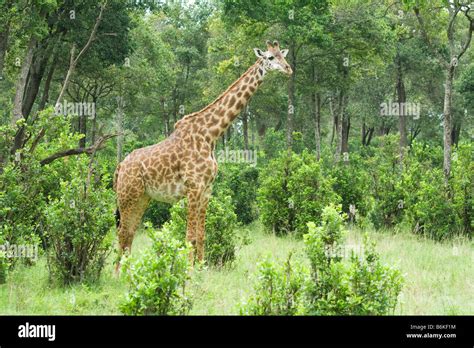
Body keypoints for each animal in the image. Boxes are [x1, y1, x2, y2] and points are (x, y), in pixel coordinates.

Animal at [115, 40, 292, 272]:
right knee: (122, 233)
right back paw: (117, 273)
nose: (289, 69)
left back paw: (127, 271)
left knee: (130, 233)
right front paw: (188, 271)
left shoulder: (207, 189)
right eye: (270, 57)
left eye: (283, 55)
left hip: (142, 197)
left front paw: (202, 269)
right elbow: (189, 236)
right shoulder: (193, 187)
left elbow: (201, 235)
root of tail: (119, 167)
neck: (211, 135)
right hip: (127, 196)